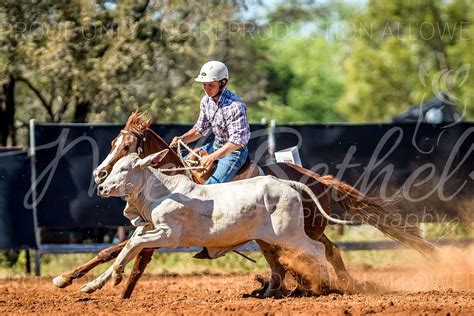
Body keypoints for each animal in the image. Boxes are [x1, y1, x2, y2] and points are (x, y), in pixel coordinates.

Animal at [52, 112, 436, 298]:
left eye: (129, 146)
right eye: (113, 142)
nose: (100, 175)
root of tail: (312, 179)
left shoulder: (162, 233)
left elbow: (122, 252)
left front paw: (92, 282)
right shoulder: (149, 230)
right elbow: (122, 251)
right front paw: (84, 282)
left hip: (298, 231)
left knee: (323, 251)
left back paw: (329, 285)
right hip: (276, 236)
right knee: (310, 254)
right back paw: (282, 289)